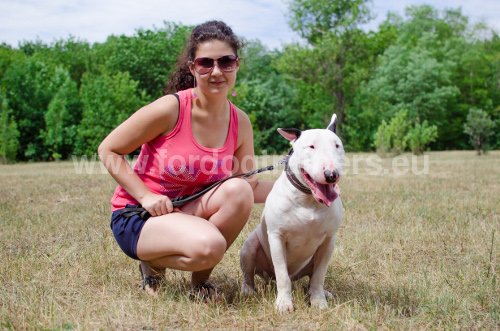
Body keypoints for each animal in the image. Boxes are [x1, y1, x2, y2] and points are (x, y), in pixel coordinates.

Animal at [239, 114, 344, 314]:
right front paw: (284, 304)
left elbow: (319, 275)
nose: (331, 175)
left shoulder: (329, 240)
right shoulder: (277, 237)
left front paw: (318, 301)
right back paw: (248, 290)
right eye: (311, 146)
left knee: (312, 278)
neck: (308, 200)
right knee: (251, 274)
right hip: (250, 246)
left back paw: (323, 293)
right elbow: (282, 275)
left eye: (337, 145)